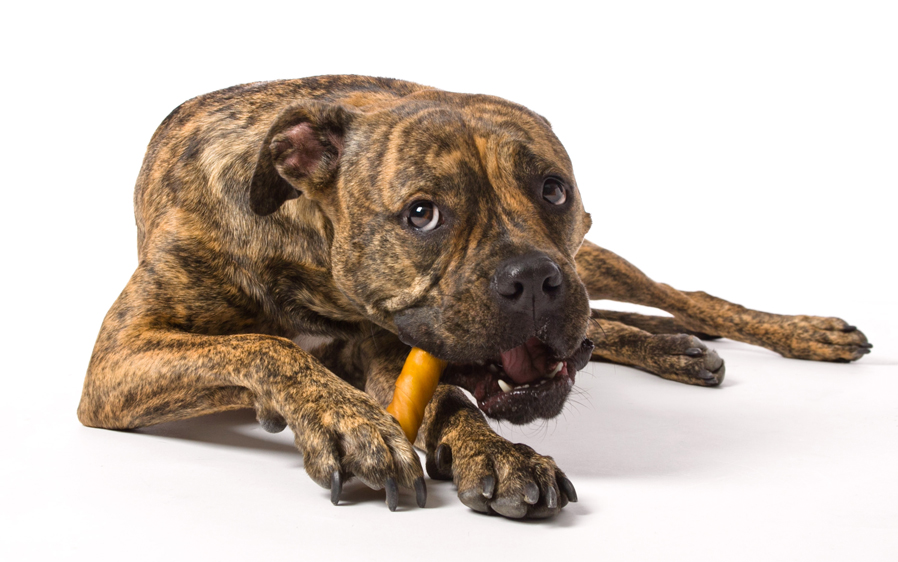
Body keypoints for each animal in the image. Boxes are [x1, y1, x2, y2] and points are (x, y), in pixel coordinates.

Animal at [77, 74, 868, 516]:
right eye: (423, 213)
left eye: (554, 189)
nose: (532, 280)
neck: (304, 242)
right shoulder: (117, 363)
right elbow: (264, 344)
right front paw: (349, 423)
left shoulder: (391, 347)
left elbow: (448, 398)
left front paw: (494, 451)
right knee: (606, 324)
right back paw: (675, 347)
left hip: (591, 258)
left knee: (673, 295)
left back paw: (795, 332)